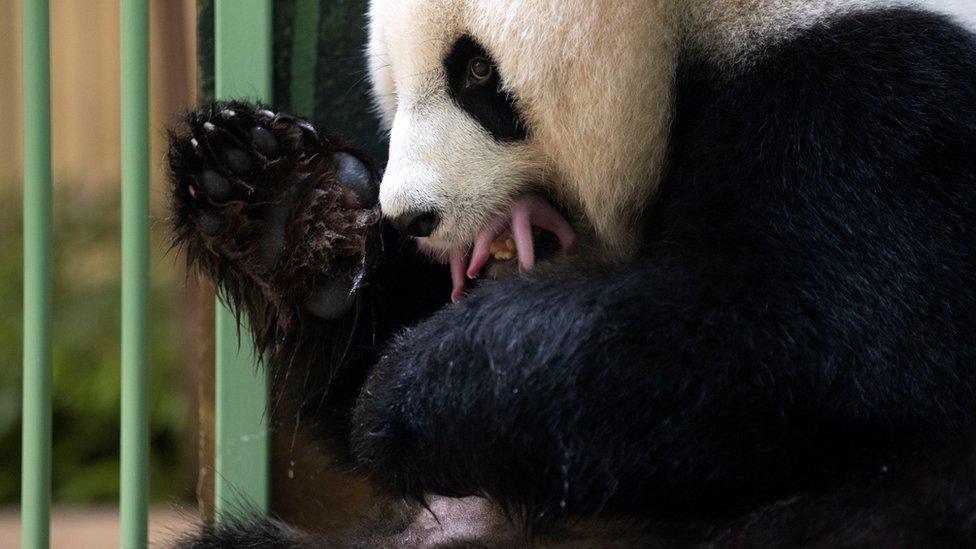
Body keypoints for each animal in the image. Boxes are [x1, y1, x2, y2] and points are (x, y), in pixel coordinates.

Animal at [172, 0, 976, 544]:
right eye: (395, 84)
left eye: (475, 70)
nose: (412, 216)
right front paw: (288, 204)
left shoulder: (885, 107)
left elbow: (794, 335)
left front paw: (415, 391)